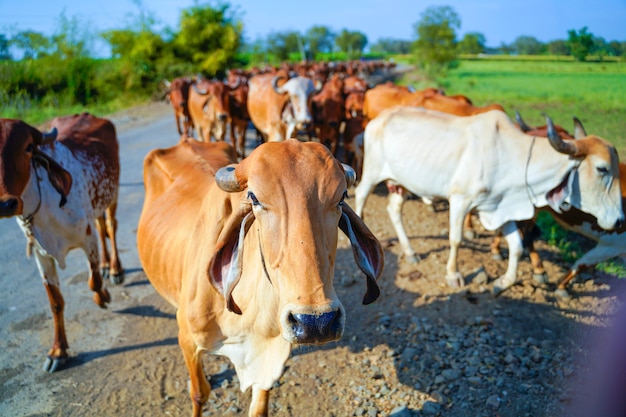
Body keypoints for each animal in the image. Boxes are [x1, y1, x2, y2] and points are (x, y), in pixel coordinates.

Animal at [0, 112, 123, 372]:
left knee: (110, 226)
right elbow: (55, 302)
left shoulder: (87, 240)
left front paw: (103, 297)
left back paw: (116, 269)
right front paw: (58, 351)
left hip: (113, 193)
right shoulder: (41, 255)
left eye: (28, 147)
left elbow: (93, 281)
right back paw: (107, 265)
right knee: (102, 227)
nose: (5, 204)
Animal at [136, 137, 382, 416]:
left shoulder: (270, 360)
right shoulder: (187, 340)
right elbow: (199, 394)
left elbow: (259, 407)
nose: (317, 322)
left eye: (342, 197)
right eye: (254, 197)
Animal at [354, 105, 620, 290]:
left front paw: (504, 282)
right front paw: (453, 274)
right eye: (602, 169)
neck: (512, 157)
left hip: (402, 182)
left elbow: (516, 246)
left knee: (394, 209)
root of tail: (377, 120)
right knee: (360, 197)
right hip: (371, 173)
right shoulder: (460, 200)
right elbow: (456, 239)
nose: (619, 221)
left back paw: (410, 252)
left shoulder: (500, 208)